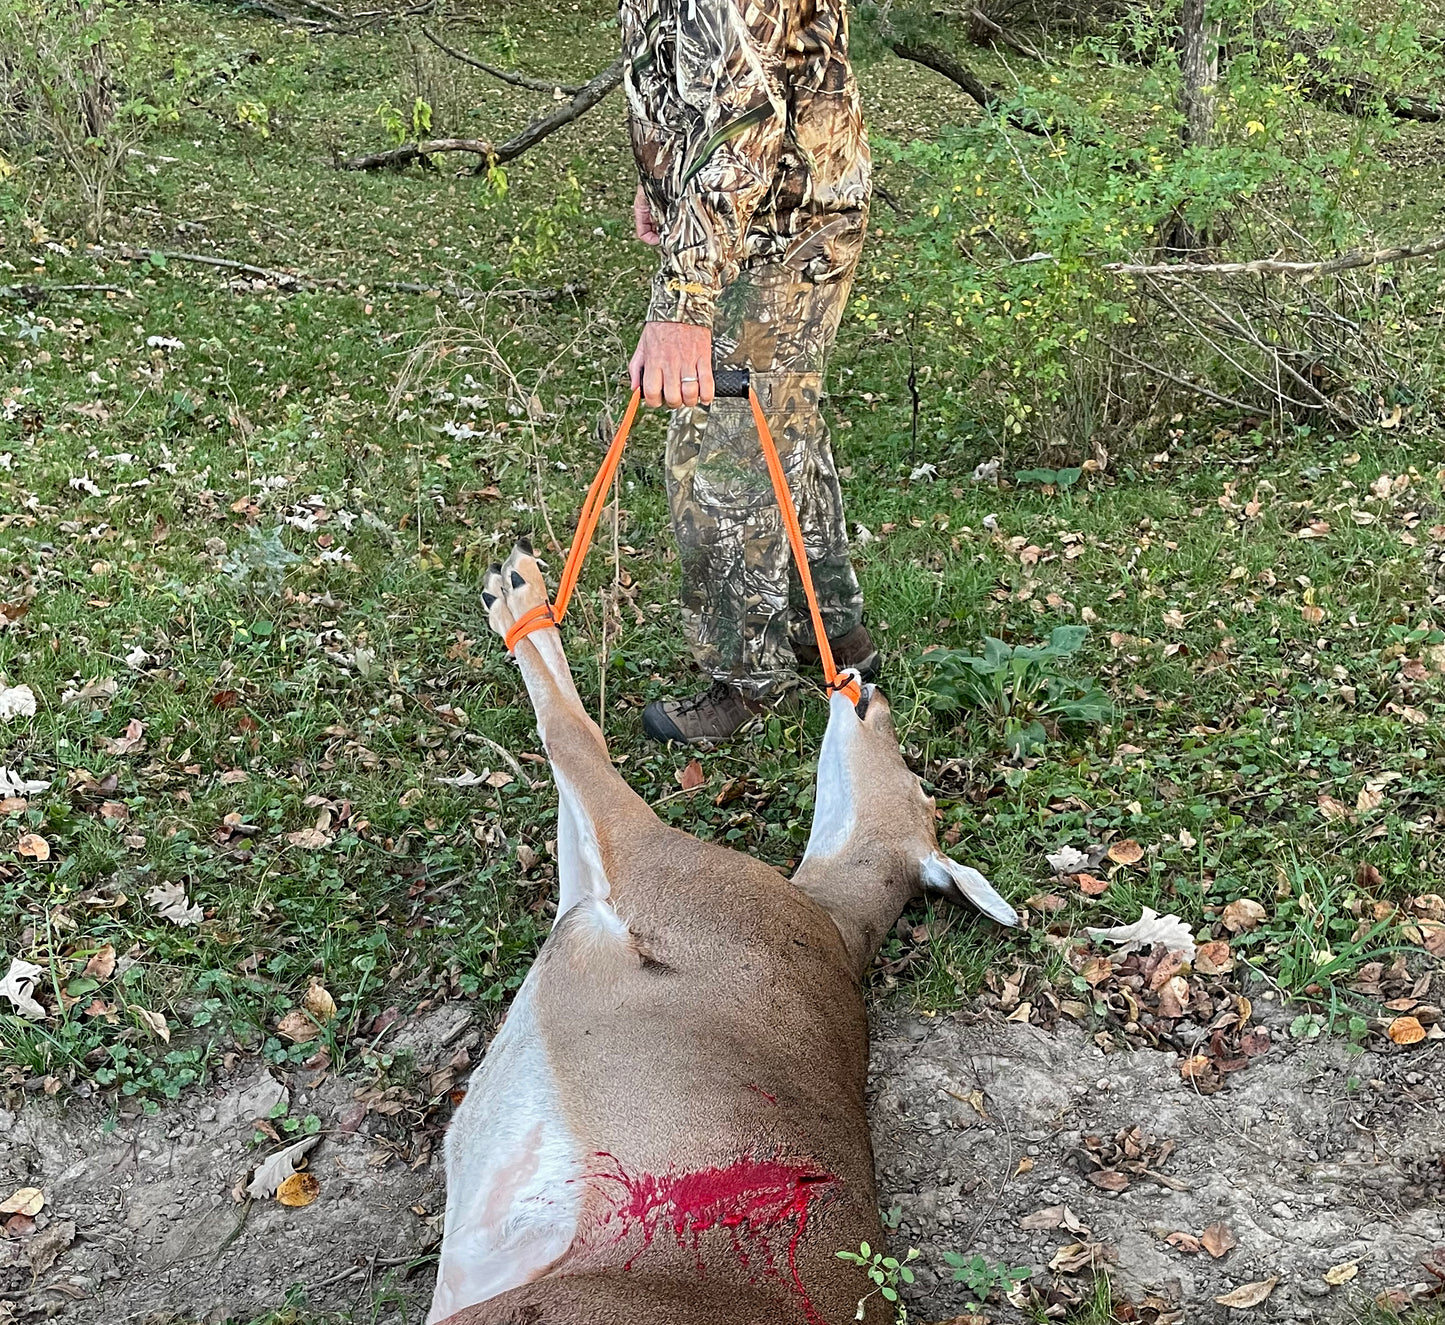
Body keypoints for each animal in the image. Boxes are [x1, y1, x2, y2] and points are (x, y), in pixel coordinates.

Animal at [427, 536, 1017, 1325]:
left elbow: (576, 736)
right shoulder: (584, 898)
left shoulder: (654, 873)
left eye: (919, 785)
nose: (875, 689)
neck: (823, 912)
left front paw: (519, 590)